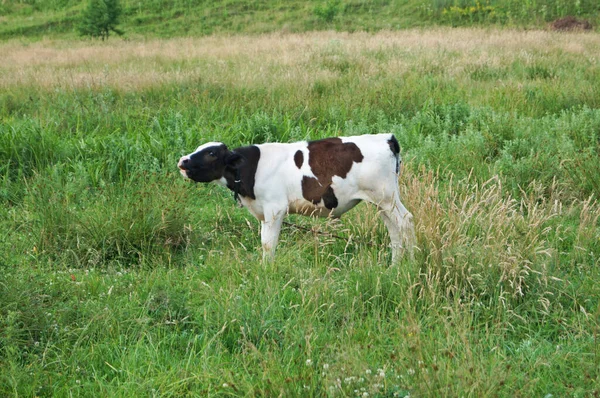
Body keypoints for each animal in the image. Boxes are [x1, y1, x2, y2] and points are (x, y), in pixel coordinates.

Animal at [176, 134, 414, 262]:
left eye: (211, 153)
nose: (182, 161)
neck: (251, 169)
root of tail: (386, 138)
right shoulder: (264, 213)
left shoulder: (275, 208)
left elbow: (268, 244)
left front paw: (267, 271)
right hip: (382, 203)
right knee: (394, 232)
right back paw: (394, 265)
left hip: (387, 197)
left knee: (406, 222)